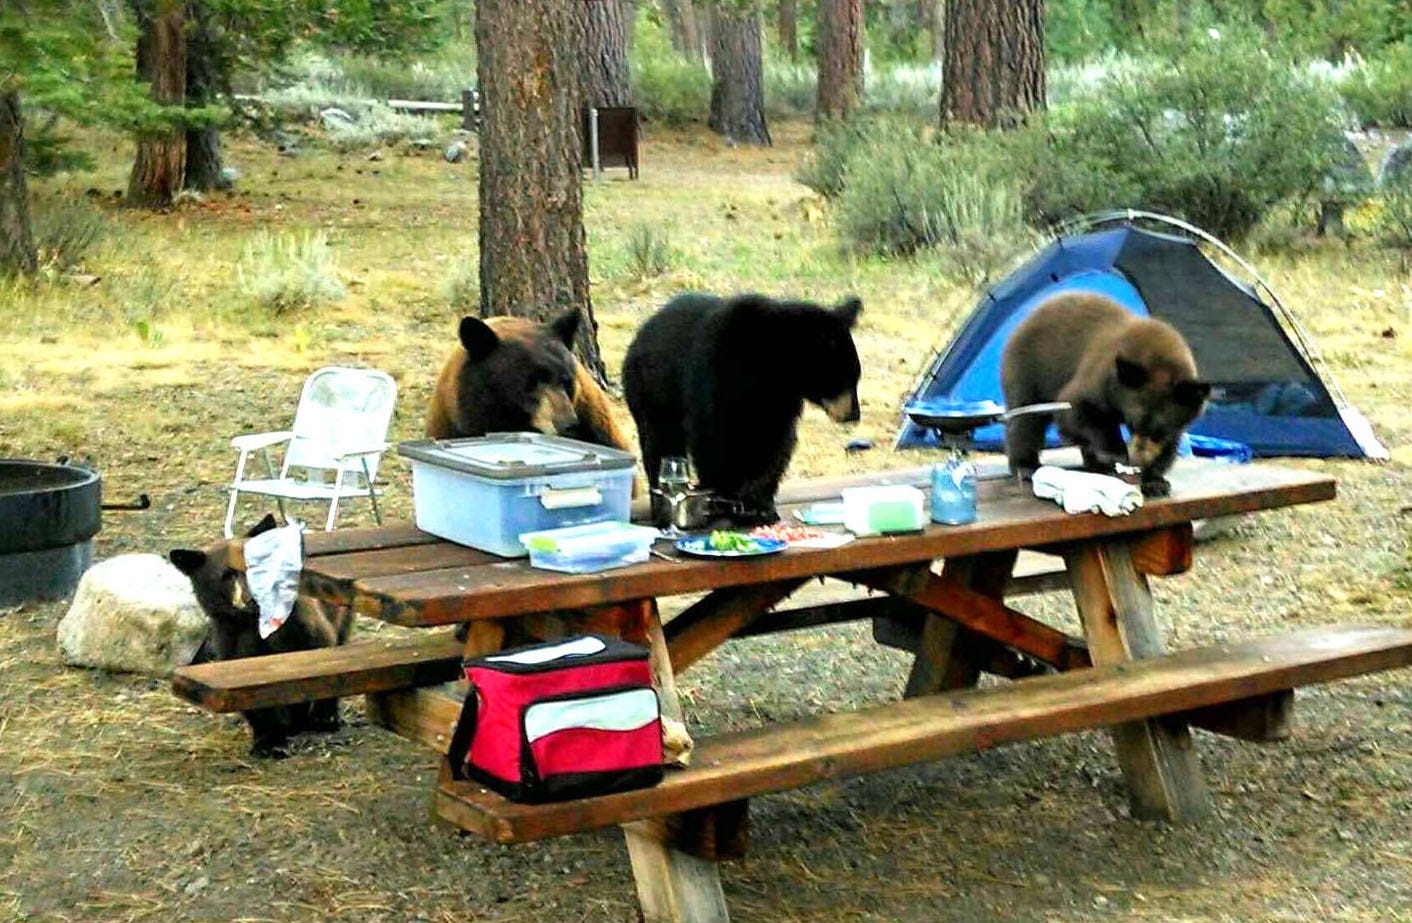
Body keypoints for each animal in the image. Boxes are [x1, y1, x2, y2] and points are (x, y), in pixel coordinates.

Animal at [169, 514, 354, 758]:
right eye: (226, 576)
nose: (250, 598)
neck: (253, 621)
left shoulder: (304, 626)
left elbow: (321, 662)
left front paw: (311, 718)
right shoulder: (232, 639)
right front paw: (268, 740)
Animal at [622, 292, 863, 526]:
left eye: (856, 378)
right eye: (844, 379)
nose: (853, 415)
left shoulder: (780, 403)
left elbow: (774, 444)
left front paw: (761, 505)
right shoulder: (718, 374)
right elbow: (713, 438)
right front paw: (727, 501)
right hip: (652, 393)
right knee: (661, 443)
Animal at [999, 291, 1211, 497]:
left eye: (1159, 430)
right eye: (1134, 423)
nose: (1138, 460)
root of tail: (1024, 320)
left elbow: (1169, 445)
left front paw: (1155, 481)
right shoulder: (1101, 377)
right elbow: (1075, 409)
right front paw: (1114, 453)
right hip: (1026, 368)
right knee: (1026, 420)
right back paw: (1026, 466)